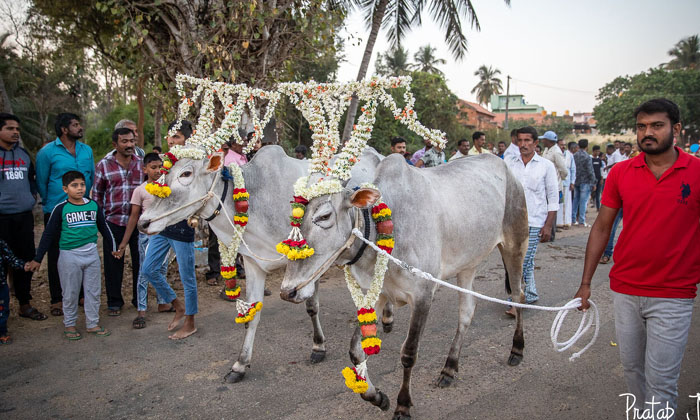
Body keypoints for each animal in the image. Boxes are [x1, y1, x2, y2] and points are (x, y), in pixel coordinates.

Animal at [139, 145, 386, 384]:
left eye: (186, 174)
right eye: (163, 172)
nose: (143, 222)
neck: (256, 198)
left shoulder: (311, 262)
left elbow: (311, 306)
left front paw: (318, 347)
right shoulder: (253, 263)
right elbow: (252, 314)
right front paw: (240, 365)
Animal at [278, 153, 532, 418]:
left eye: (324, 216)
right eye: (295, 218)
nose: (288, 291)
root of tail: (502, 164)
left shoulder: (423, 296)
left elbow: (409, 353)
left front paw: (403, 404)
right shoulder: (376, 294)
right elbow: (355, 351)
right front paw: (377, 397)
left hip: (515, 245)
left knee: (519, 295)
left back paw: (517, 349)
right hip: (467, 265)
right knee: (466, 312)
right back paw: (449, 368)